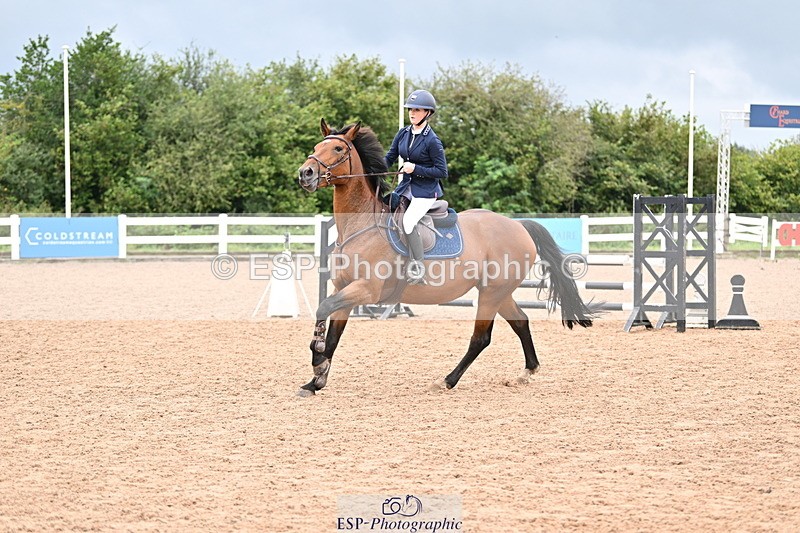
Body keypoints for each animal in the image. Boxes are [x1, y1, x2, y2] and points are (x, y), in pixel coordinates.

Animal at [296, 119, 599, 396]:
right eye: (316, 147)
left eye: (337, 148)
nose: (305, 174)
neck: (361, 225)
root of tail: (517, 225)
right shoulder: (344, 288)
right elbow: (333, 334)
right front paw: (316, 379)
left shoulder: (366, 290)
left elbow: (323, 309)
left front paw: (317, 359)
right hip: (498, 292)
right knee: (520, 321)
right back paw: (527, 371)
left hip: (491, 293)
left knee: (481, 338)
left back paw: (447, 380)